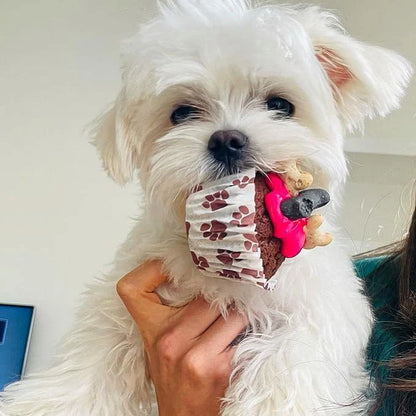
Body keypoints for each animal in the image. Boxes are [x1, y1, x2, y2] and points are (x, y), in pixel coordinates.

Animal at [0, 0, 412, 416]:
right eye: (182, 113)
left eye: (280, 105)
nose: (227, 140)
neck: (223, 266)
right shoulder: (124, 295)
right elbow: (97, 349)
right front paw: (49, 402)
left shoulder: (317, 312)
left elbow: (289, 361)